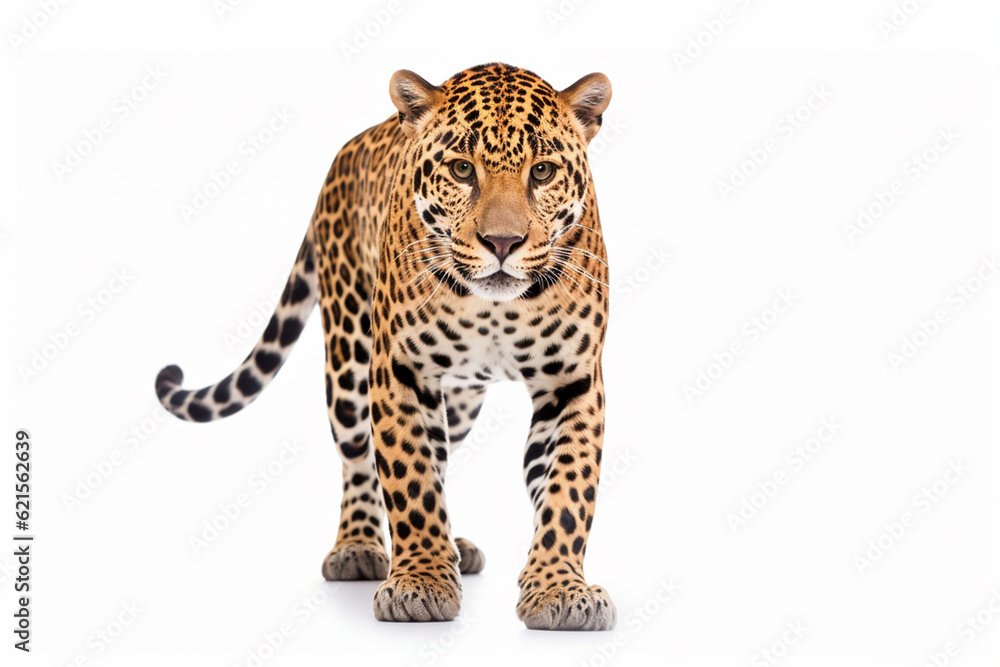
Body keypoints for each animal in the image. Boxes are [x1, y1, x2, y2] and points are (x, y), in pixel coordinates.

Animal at [155, 62, 615, 630]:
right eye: (462, 170)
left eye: (544, 173)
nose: (503, 243)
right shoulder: (401, 370)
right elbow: (409, 477)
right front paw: (420, 582)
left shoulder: (572, 382)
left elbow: (567, 489)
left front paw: (559, 590)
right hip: (348, 355)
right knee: (358, 458)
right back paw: (359, 548)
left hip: (461, 397)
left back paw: (455, 546)